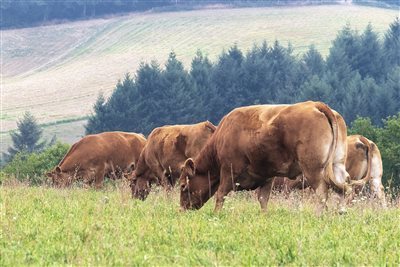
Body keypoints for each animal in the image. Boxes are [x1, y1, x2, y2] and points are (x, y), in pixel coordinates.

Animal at [180, 101, 352, 215]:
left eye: (183, 186)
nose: (181, 209)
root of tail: (316, 104)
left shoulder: (229, 170)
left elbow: (221, 194)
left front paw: (216, 214)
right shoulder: (267, 175)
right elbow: (263, 199)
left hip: (313, 169)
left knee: (322, 192)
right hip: (337, 164)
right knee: (343, 189)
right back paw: (341, 212)